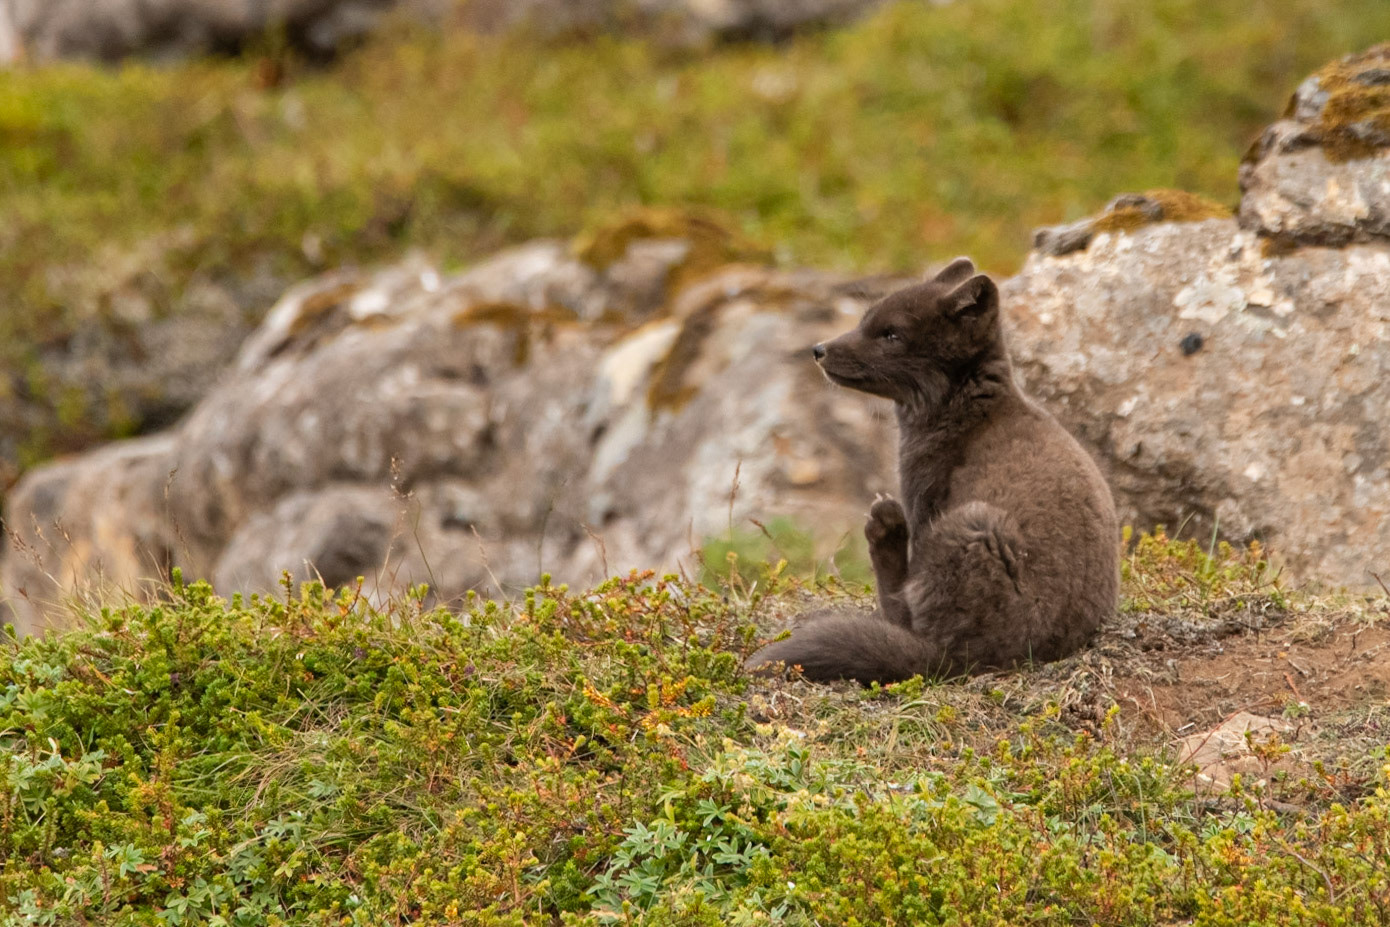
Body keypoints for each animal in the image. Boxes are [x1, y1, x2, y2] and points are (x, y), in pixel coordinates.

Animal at [746, 257, 1119, 684]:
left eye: (891, 334)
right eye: (865, 320)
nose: (818, 349)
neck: (969, 415)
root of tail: (972, 660)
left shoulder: (923, 496)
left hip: (971, 526)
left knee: (904, 615)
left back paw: (885, 527)